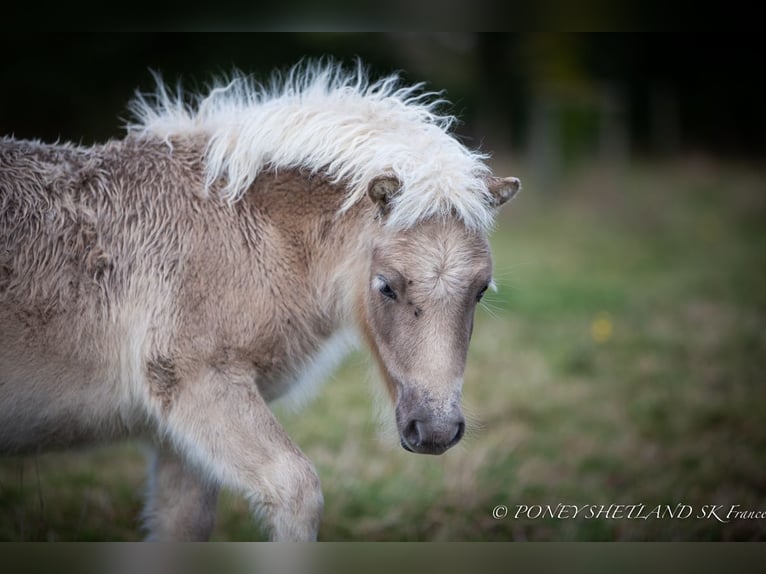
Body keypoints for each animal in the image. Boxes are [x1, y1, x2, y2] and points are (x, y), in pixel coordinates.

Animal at [0, 65, 520, 544]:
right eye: (385, 286)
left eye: (480, 289)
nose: (434, 431)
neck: (236, 225)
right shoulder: (202, 385)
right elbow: (296, 491)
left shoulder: (176, 437)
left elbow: (183, 526)